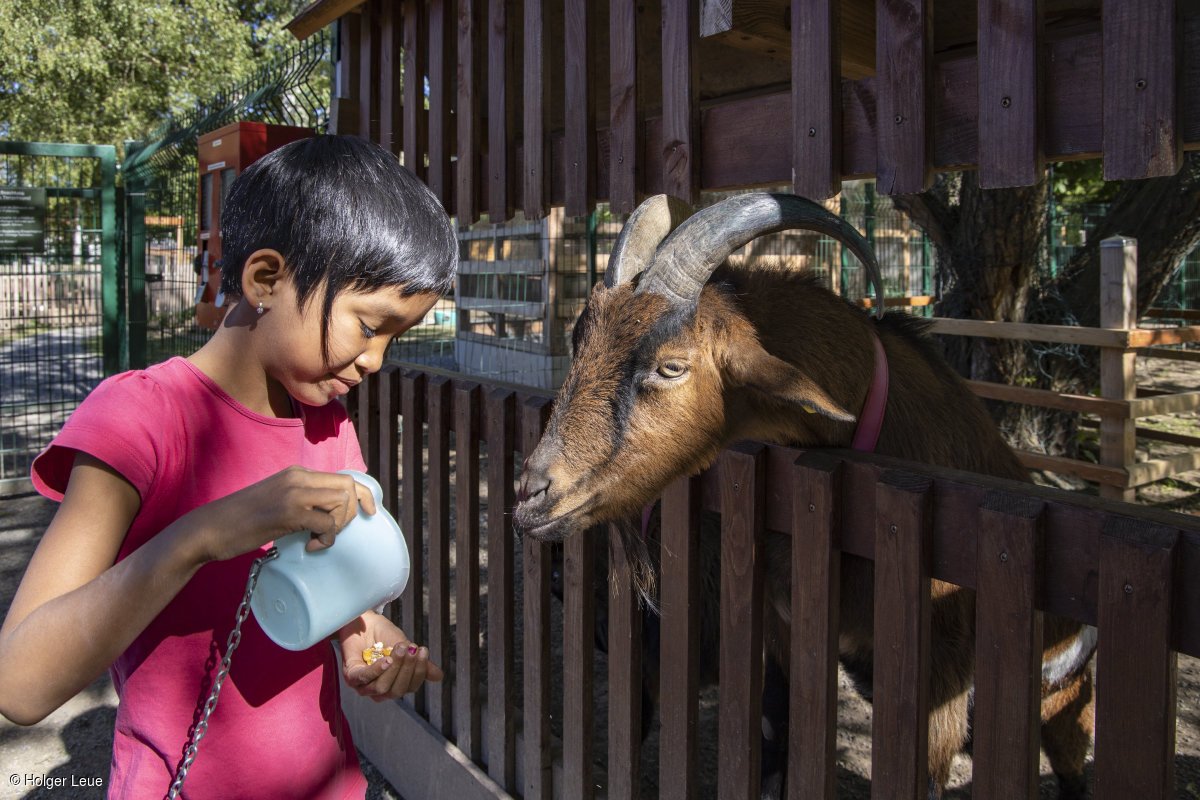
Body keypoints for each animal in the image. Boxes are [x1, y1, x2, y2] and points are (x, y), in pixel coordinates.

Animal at [511, 195, 1094, 800]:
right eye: (579, 344)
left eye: (671, 366)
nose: (531, 495)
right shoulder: (784, 624)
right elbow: (775, 724)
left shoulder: (942, 668)